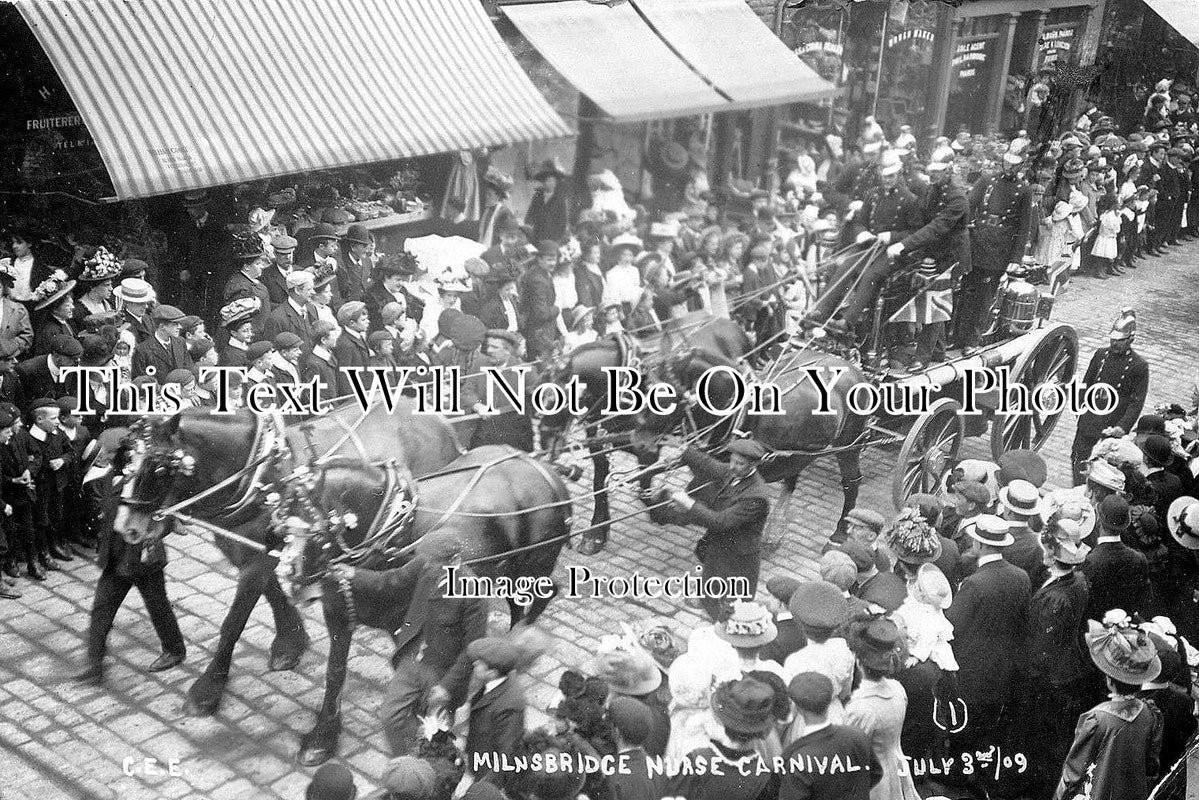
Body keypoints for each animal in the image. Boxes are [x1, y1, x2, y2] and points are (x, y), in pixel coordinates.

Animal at [112, 402, 460, 714]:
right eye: (127, 461)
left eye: (159, 467)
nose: (126, 527)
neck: (260, 477)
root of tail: (439, 420)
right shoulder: (261, 553)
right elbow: (275, 593)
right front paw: (290, 644)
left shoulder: (259, 561)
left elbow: (233, 622)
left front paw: (207, 691)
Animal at [272, 448, 570, 767]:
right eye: (282, 528)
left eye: (316, 533)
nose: (288, 581)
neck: (388, 531)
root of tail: (547, 473)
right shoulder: (338, 615)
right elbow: (335, 672)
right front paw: (322, 738)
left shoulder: (404, 621)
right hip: (506, 572)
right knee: (521, 606)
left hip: (532, 565)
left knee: (541, 599)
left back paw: (515, 652)